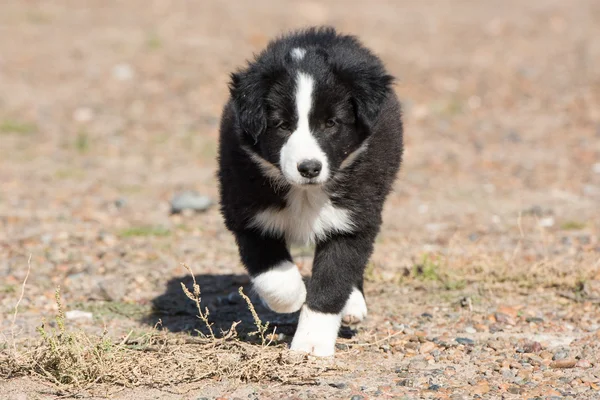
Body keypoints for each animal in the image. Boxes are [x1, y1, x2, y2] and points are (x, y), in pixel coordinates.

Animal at [217, 26, 404, 358]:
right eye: (281, 125)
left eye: (331, 123)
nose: (309, 168)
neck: (305, 193)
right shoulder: (246, 210)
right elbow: (273, 271)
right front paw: (291, 297)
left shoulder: (354, 218)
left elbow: (333, 279)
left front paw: (311, 344)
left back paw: (352, 303)